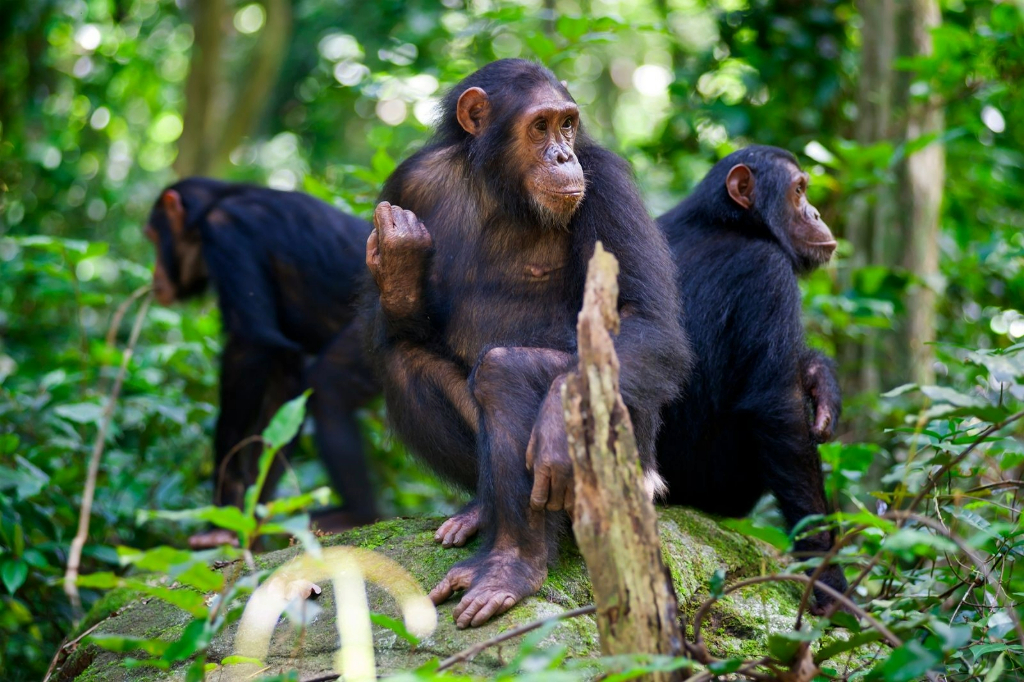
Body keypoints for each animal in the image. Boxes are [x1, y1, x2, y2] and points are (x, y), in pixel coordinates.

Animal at [144, 178, 380, 544]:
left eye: (154, 237)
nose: (154, 274)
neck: (210, 208)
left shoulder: (226, 234)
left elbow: (251, 346)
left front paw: (223, 509)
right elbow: (284, 386)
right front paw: (248, 519)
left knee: (329, 386)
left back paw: (357, 515)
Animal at [364, 58, 692, 626]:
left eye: (568, 125)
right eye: (540, 126)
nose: (562, 155)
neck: (499, 185)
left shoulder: (606, 182)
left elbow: (644, 317)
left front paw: (559, 421)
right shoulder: (408, 183)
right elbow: (402, 332)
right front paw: (400, 261)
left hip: (633, 467)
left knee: (506, 372)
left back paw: (511, 568)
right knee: (405, 363)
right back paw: (482, 517)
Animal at [655, 144, 847, 610]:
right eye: (799, 191)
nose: (816, 212)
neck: (727, 222)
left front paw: (821, 380)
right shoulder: (769, 274)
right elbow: (780, 411)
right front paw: (829, 578)